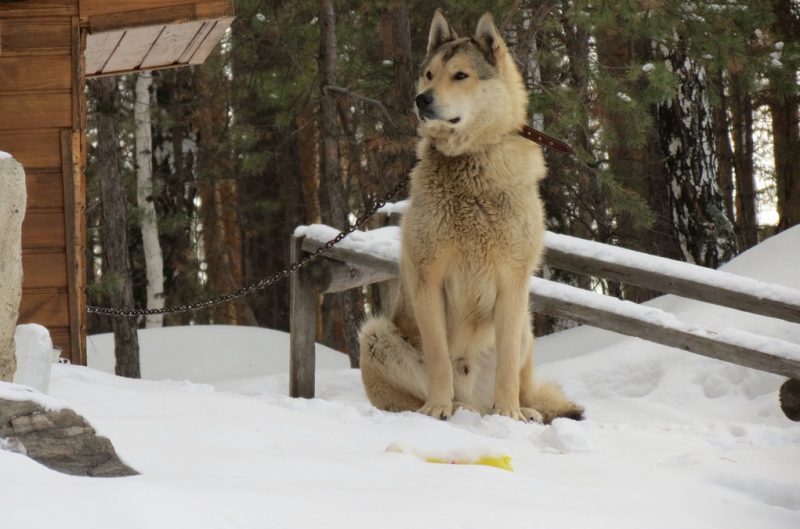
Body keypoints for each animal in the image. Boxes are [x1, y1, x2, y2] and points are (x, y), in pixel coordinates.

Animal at [356, 9, 580, 424]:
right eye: (429, 74)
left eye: (460, 75)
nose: (421, 99)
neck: (470, 161)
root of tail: (475, 398)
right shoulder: (428, 279)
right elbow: (439, 359)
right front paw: (437, 407)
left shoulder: (513, 284)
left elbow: (506, 367)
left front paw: (509, 414)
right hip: (375, 336)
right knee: (413, 396)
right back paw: (452, 407)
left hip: (525, 328)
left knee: (519, 386)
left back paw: (519, 410)